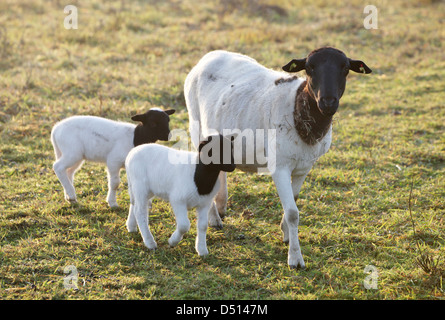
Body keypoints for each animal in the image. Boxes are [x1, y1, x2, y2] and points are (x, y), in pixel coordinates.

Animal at [184, 46, 372, 268]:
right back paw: (213, 216)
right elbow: (293, 213)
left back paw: (219, 211)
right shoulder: (280, 166)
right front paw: (295, 258)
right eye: (310, 68)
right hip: (196, 127)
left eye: (345, 68)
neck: (299, 109)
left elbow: (294, 202)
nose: (328, 102)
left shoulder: (304, 167)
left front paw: (286, 235)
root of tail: (210, 55)